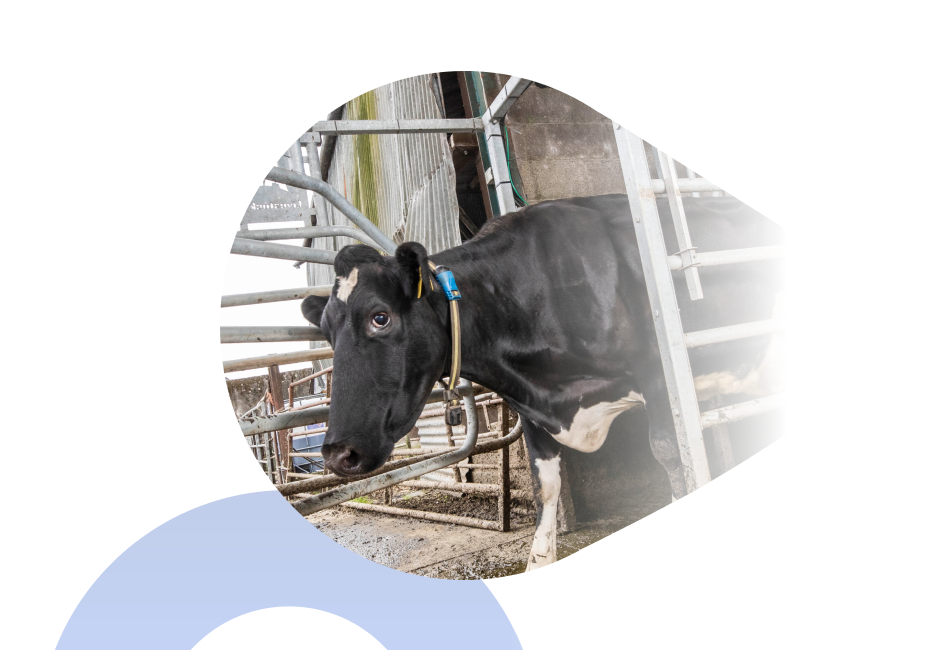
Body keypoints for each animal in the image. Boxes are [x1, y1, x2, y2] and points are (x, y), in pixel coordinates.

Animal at [300, 193, 783, 570]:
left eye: (380, 317)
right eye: (325, 332)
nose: (337, 454)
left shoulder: (658, 375)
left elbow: (673, 456)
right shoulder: (531, 409)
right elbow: (543, 488)